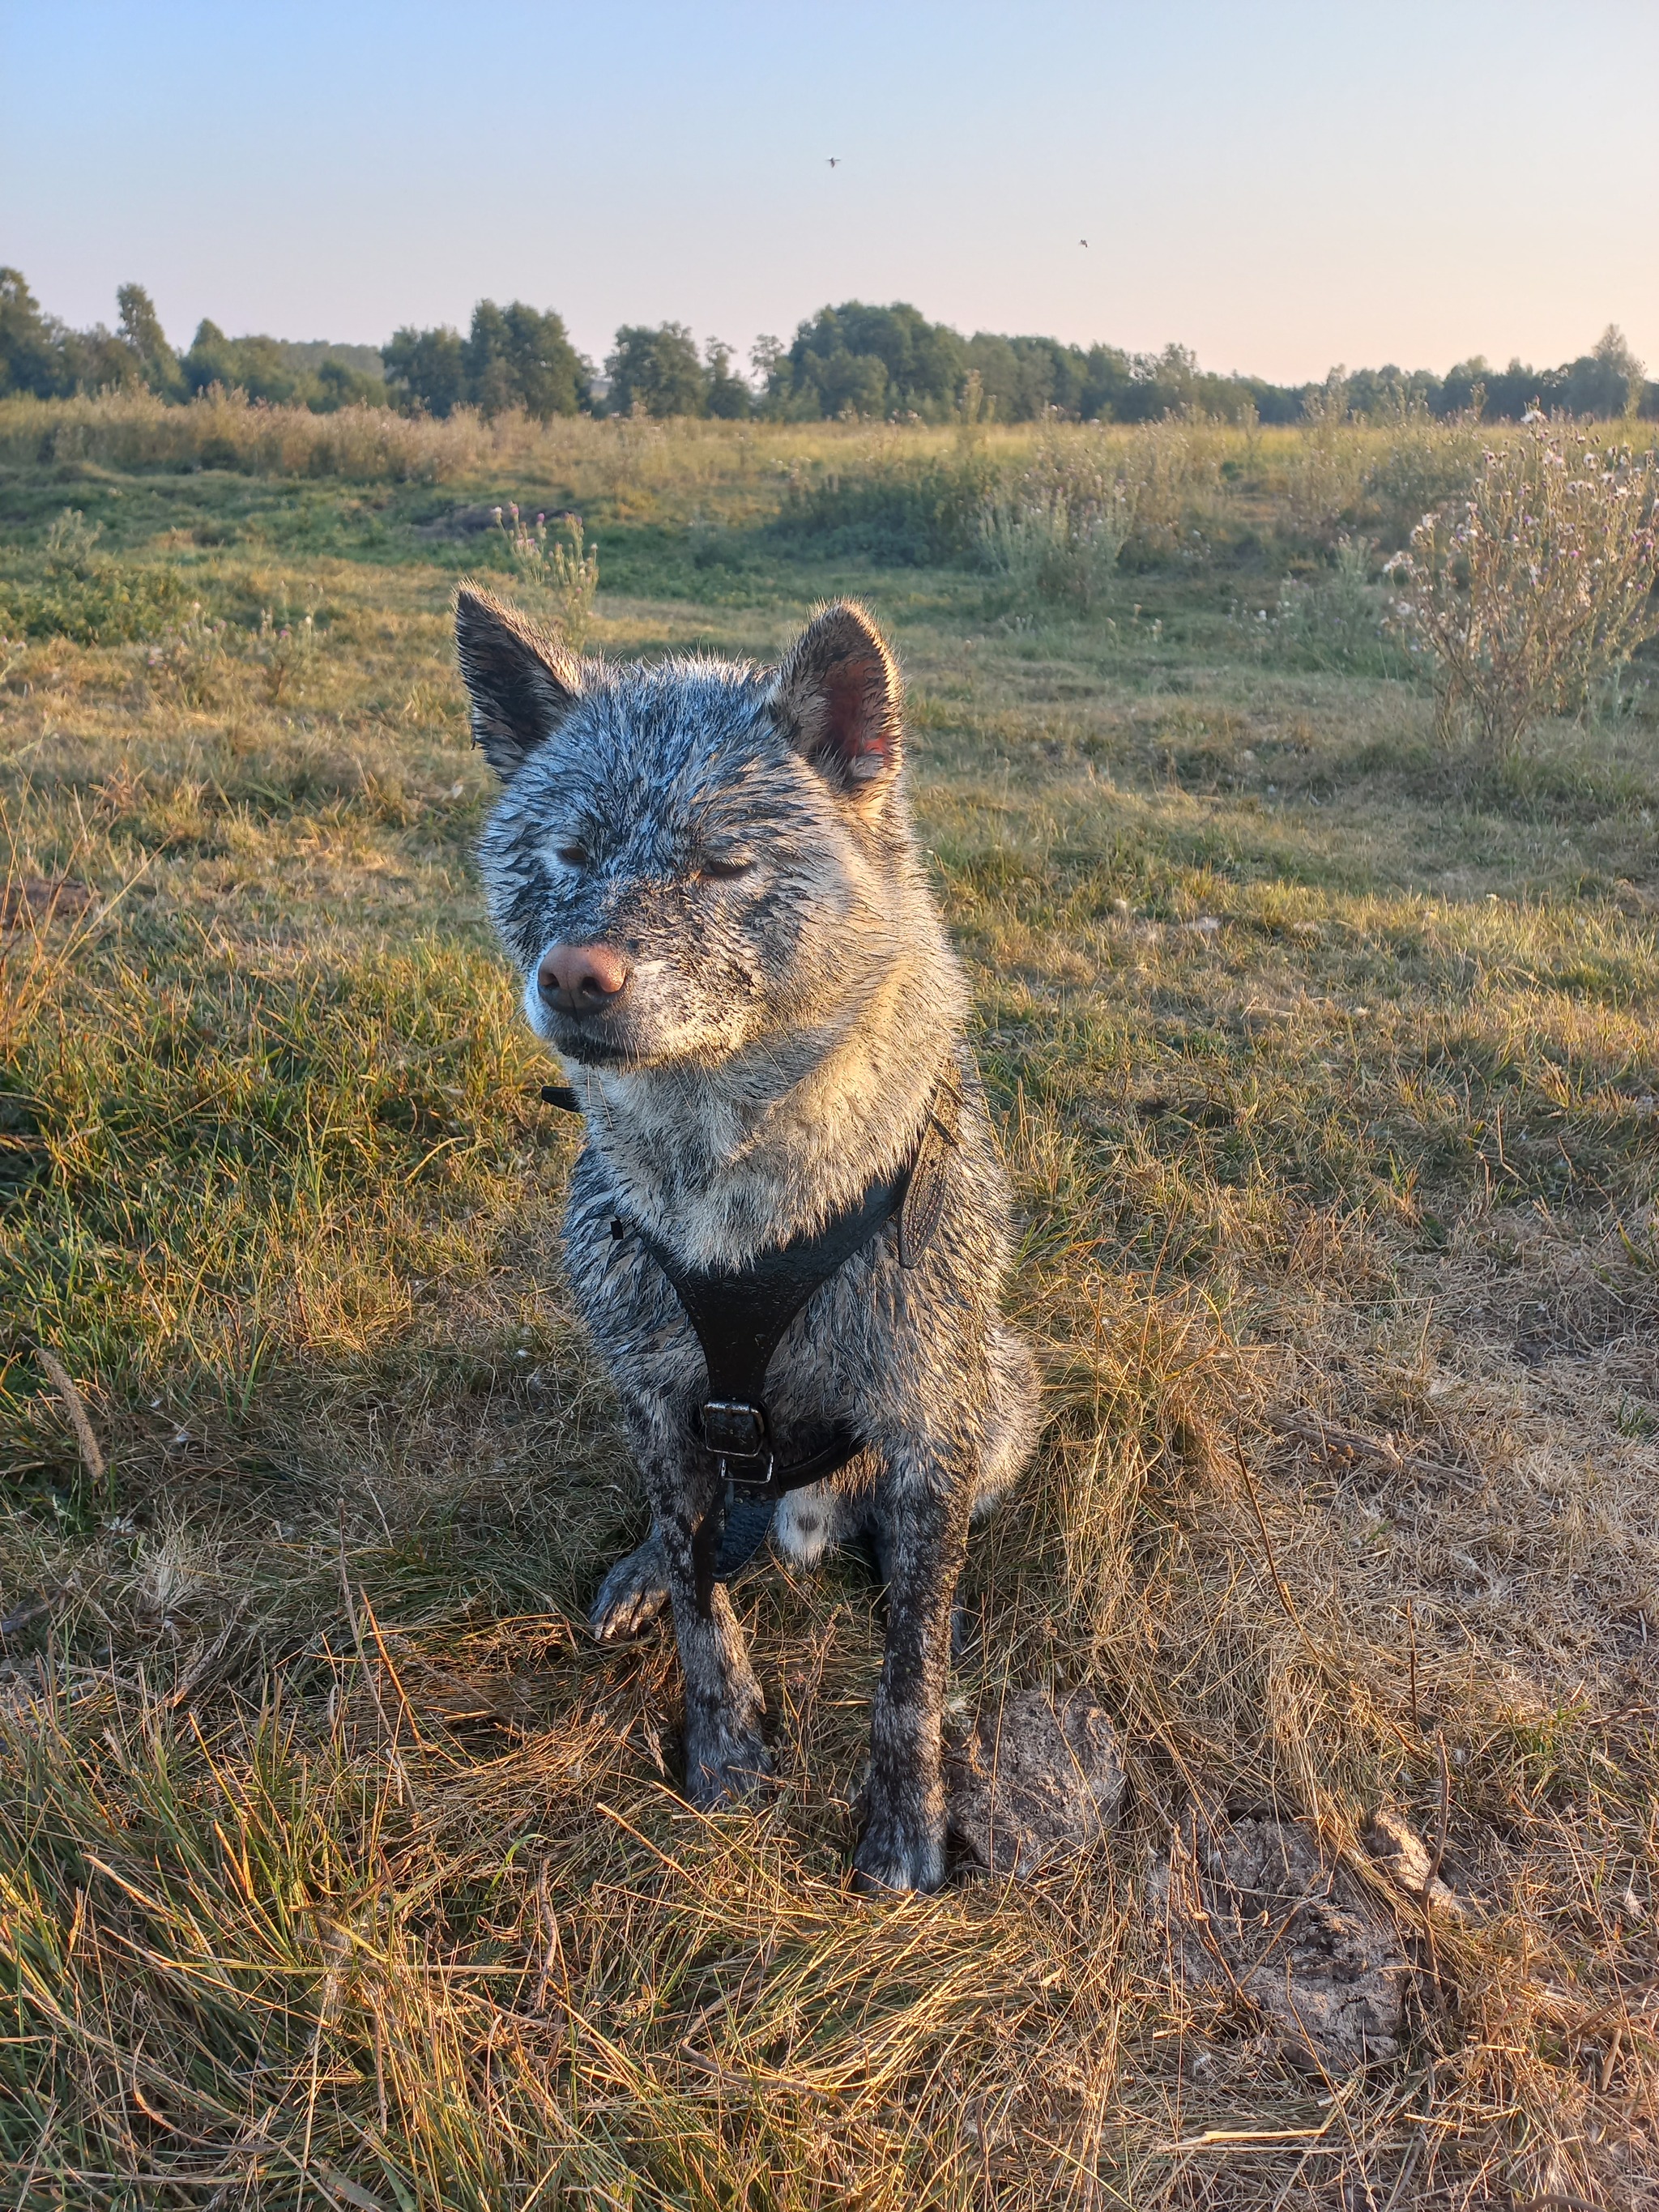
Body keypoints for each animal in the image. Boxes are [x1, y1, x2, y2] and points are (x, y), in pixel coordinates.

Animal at [455, 592, 1039, 1902]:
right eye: (567, 852)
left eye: (721, 862)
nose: (574, 976)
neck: (730, 1191)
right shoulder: (659, 1398)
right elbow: (698, 1596)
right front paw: (723, 1743)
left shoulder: (927, 1421)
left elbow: (908, 1676)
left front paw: (906, 1819)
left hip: (1003, 1389)